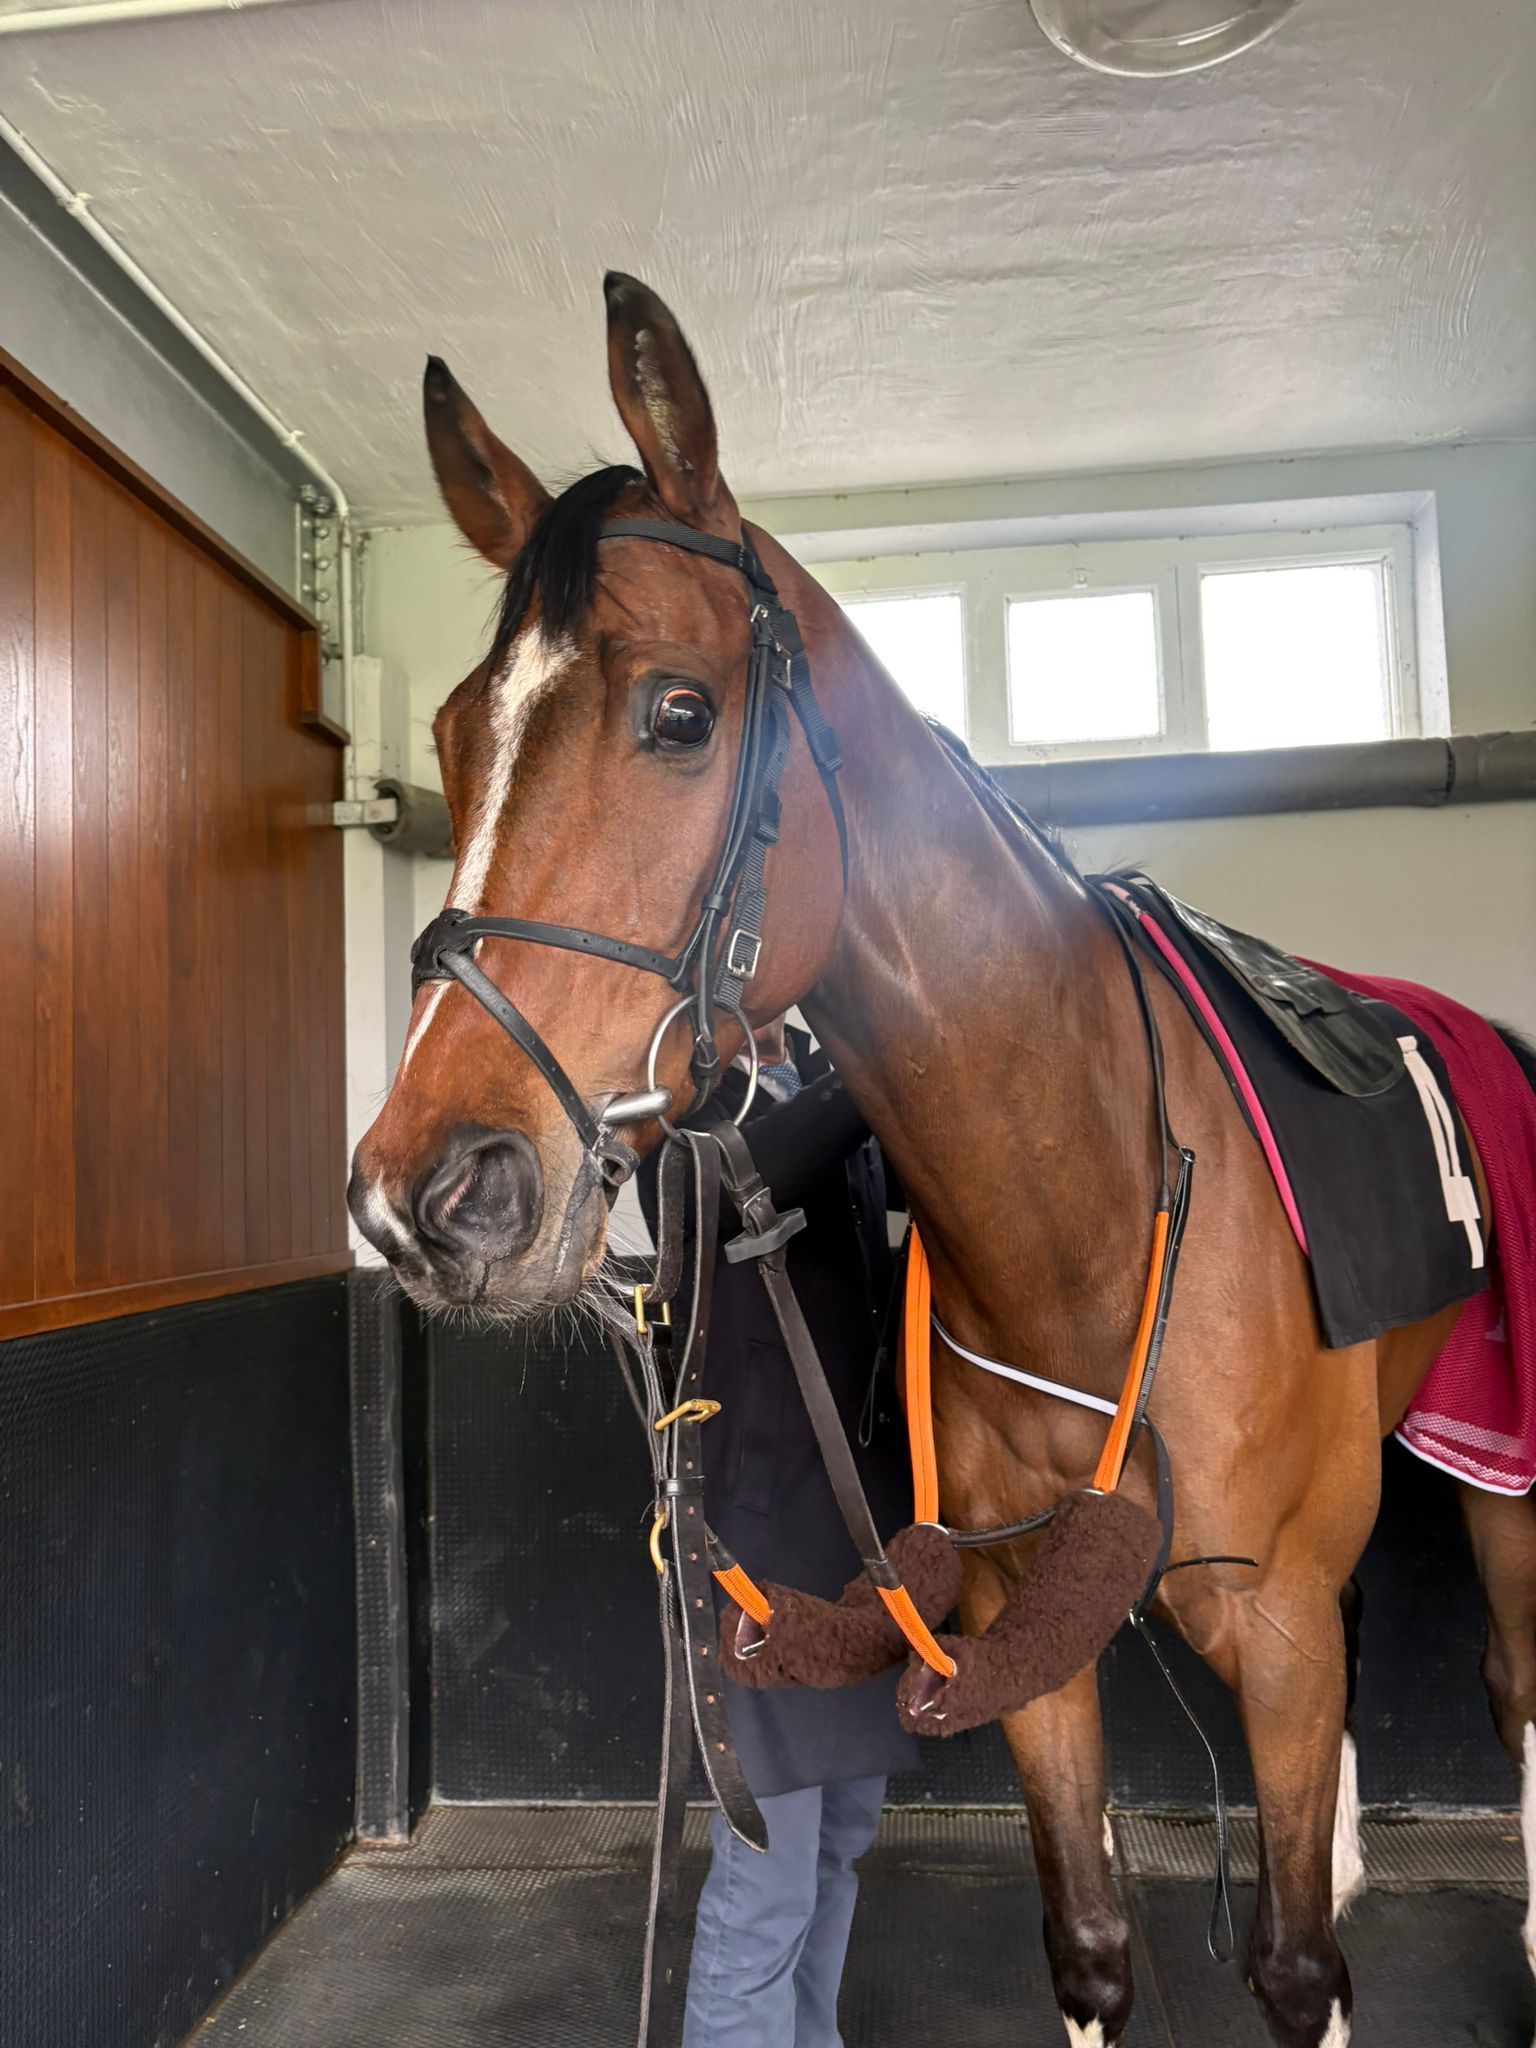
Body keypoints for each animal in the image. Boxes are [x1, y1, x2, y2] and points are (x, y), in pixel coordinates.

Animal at [349, 272, 1536, 2048]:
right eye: (447, 735)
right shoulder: (1014, 1631)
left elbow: (1294, 1970)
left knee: (1514, 1680)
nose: (428, 1194)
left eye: (679, 712)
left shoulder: (1266, 1624)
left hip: (1501, 1472)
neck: (1091, 1208)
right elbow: (1095, 1937)